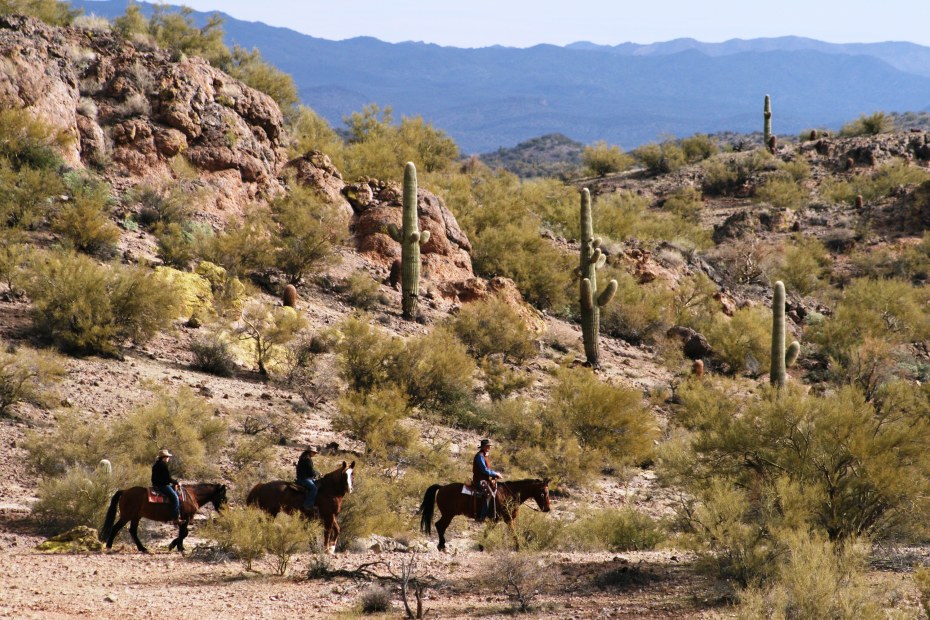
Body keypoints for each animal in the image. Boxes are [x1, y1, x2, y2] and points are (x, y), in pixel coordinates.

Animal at [99, 482, 227, 556]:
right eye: (223, 497)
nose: (224, 511)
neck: (192, 495)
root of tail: (125, 491)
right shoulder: (185, 518)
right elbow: (184, 533)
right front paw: (175, 546)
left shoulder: (183, 520)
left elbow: (183, 533)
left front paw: (179, 547)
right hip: (127, 516)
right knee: (116, 528)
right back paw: (109, 547)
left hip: (136, 516)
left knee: (133, 531)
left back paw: (143, 548)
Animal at [420, 478, 552, 548]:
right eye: (543, 493)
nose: (547, 509)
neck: (508, 494)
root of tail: (442, 487)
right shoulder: (504, 519)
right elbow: (512, 533)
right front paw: (519, 547)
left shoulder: (506, 519)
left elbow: (491, 532)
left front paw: (481, 546)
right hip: (448, 515)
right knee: (439, 525)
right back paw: (442, 545)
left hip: (448, 514)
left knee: (439, 526)